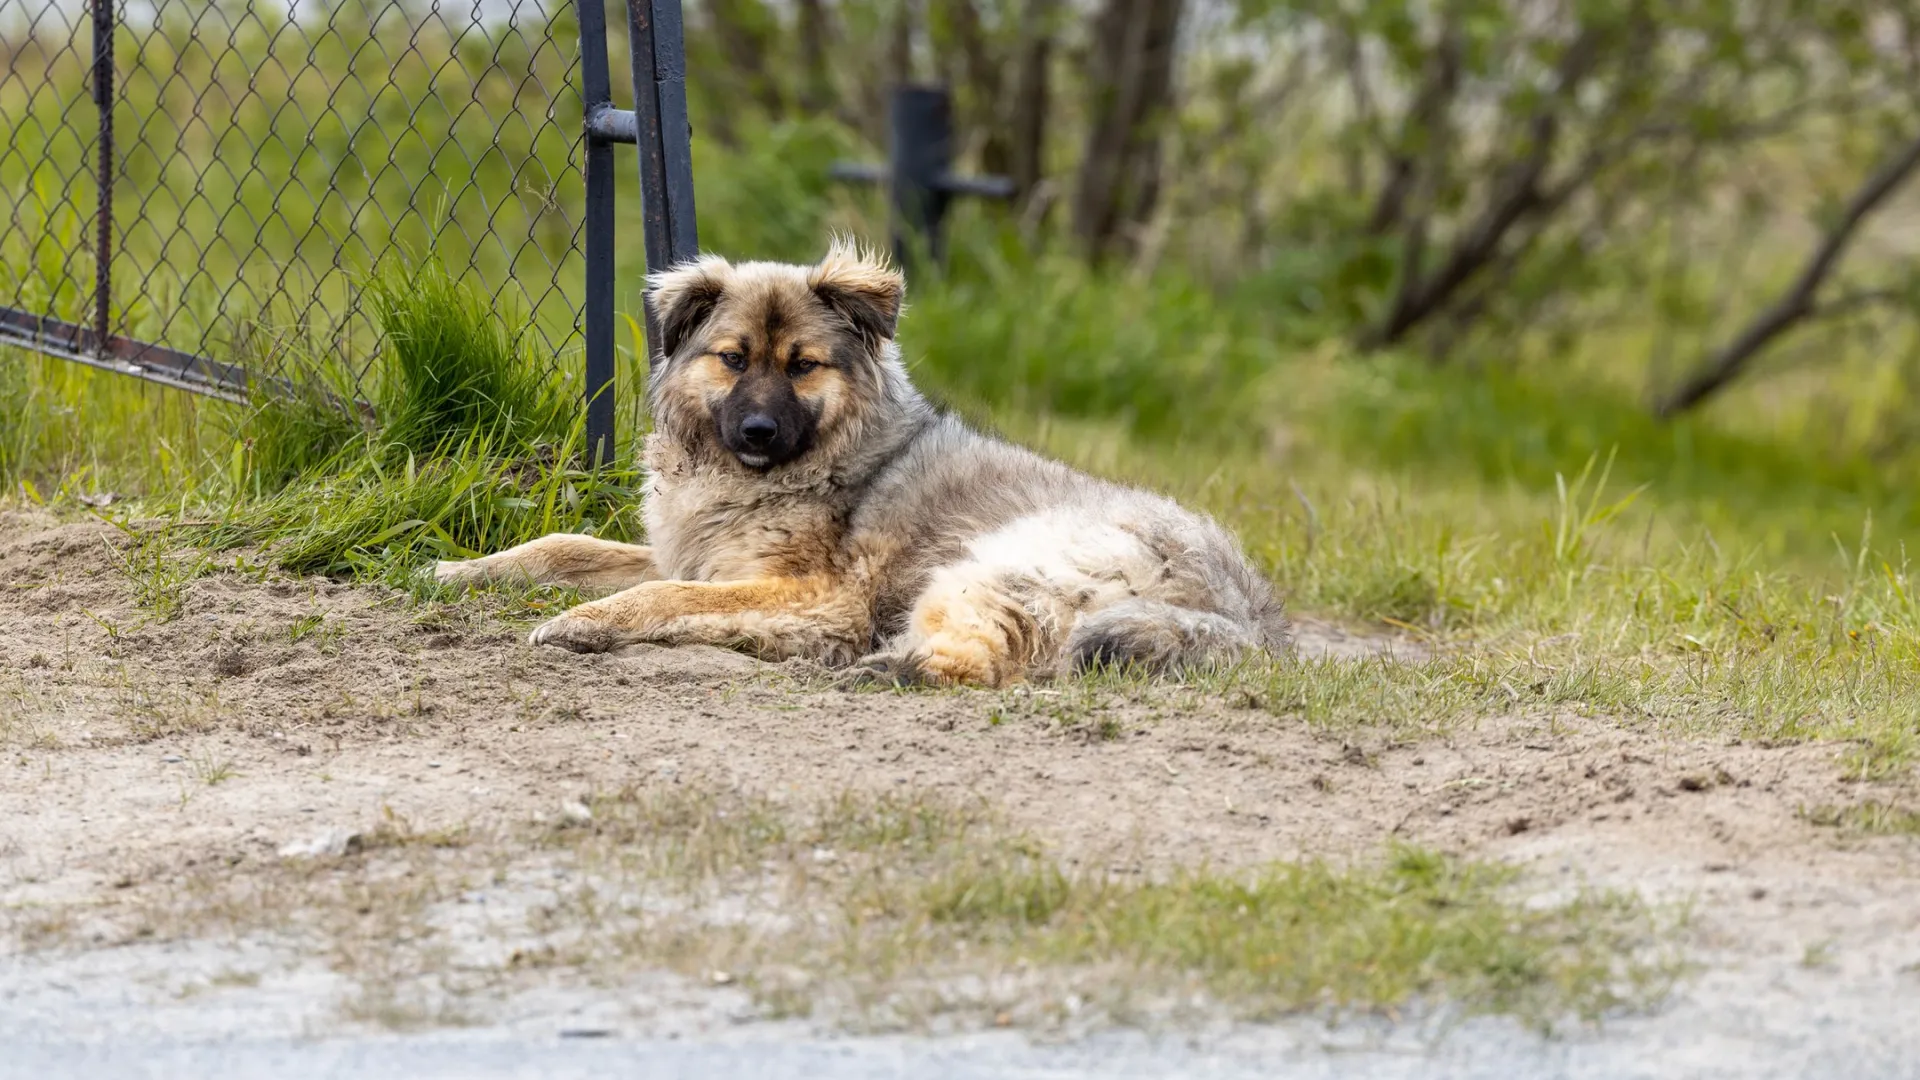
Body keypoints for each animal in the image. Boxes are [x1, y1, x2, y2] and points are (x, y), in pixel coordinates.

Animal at [428, 239, 1282, 684]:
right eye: (733, 359)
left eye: (803, 366)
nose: (759, 431)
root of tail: (1241, 608)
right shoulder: (693, 551)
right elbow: (565, 547)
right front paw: (462, 570)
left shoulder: (815, 592)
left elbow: (661, 595)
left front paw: (583, 622)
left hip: (995, 567)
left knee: (974, 661)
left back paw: (877, 668)